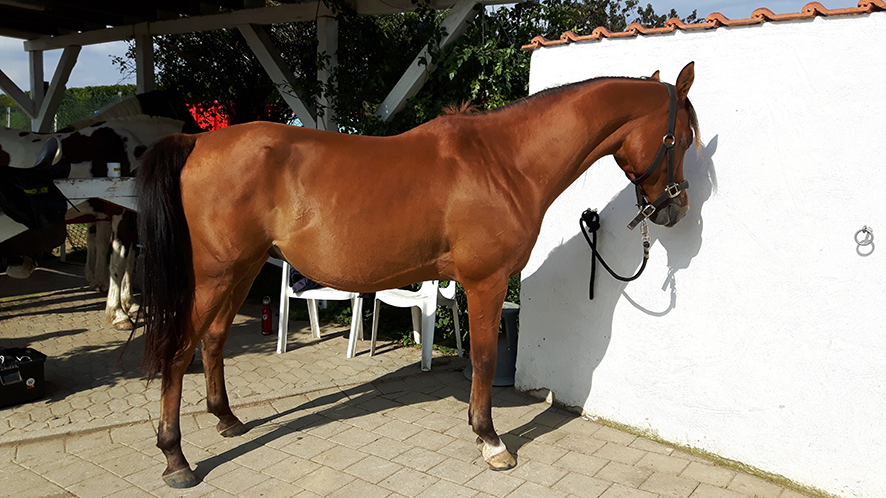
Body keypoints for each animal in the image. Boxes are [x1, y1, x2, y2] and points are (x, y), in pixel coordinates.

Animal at [137, 62, 699, 488]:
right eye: (684, 138)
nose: (675, 210)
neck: (504, 161)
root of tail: (196, 144)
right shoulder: (486, 281)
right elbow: (484, 359)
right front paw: (491, 441)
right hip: (215, 274)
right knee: (180, 351)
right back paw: (176, 460)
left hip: (243, 269)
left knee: (213, 340)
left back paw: (227, 421)